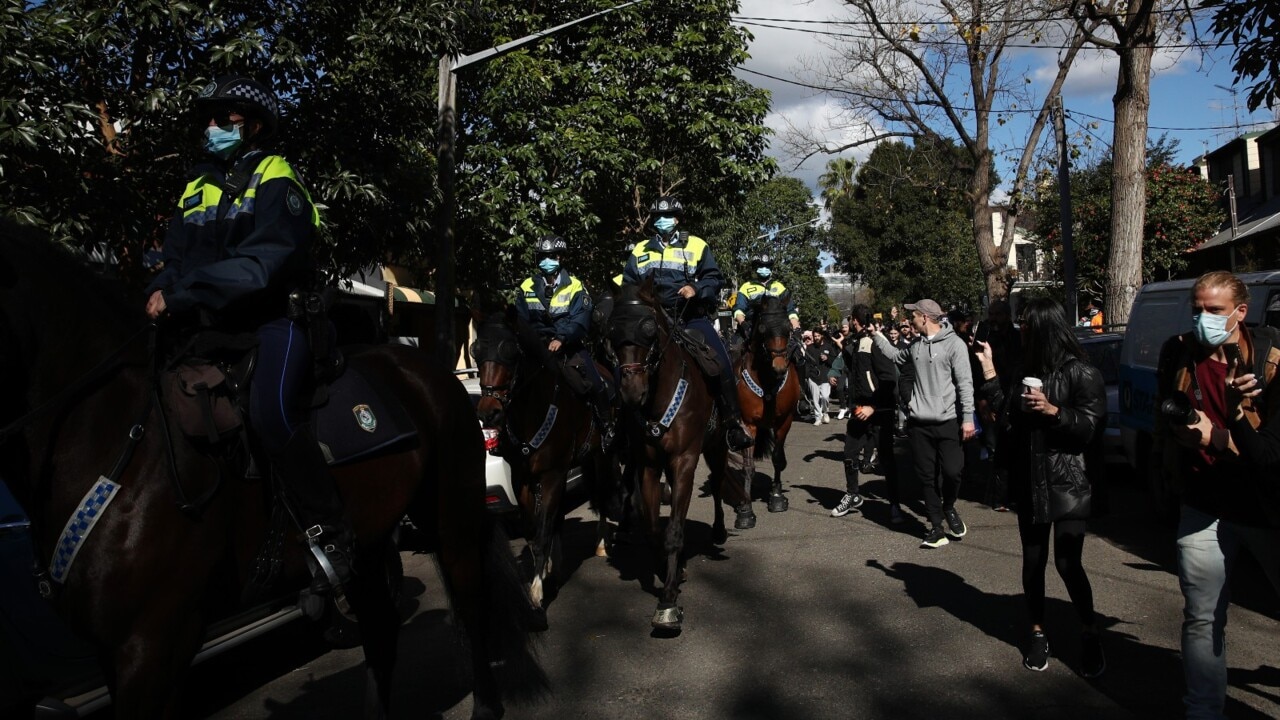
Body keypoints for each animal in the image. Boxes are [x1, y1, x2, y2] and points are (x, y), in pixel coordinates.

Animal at [0, 226, 540, 717]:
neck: (119, 434)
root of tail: (431, 372)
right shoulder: (116, 650)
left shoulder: (150, 642)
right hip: (369, 542)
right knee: (382, 629)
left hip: (450, 516)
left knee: (471, 603)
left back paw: (486, 705)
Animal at [468, 299, 616, 620]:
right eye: (476, 351)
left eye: (511, 351)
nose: (488, 413)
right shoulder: (522, 479)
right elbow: (533, 531)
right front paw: (543, 570)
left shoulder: (553, 476)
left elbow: (545, 528)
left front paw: (537, 592)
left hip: (600, 456)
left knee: (600, 495)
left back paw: (600, 544)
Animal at [601, 278, 747, 630]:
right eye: (612, 333)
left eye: (649, 330)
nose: (632, 392)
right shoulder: (649, 465)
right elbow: (655, 528)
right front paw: (671, 570)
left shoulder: (684, 461)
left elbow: (675, 530)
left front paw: (668, 601)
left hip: (717, 445)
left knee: (719, 482)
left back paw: (719, 530)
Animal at [742, 294, 798, 512]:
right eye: (763, 329)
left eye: (788, 328)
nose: (780, 367)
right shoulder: (747, 424)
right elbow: (748, 466)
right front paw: (746, 508)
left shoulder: (785, 420)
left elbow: (777, 458)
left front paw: (776, 495)